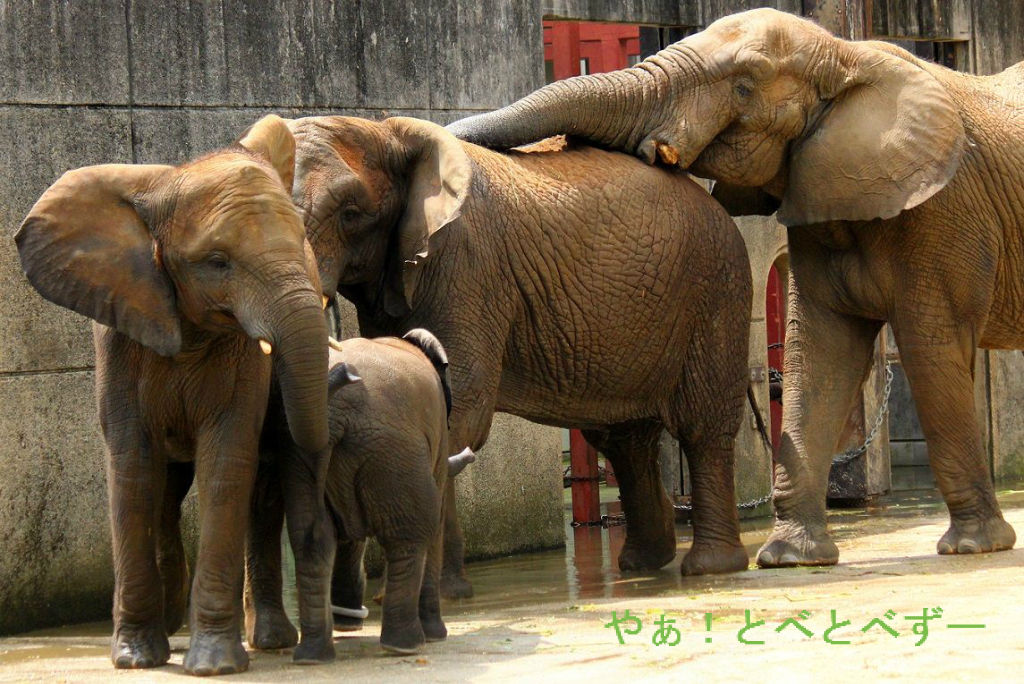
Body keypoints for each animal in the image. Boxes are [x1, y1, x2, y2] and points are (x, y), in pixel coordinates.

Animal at [13, 115, 335, 674]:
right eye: (217, 261)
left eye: (301, 242)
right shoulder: (119, 330)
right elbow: (132, 466)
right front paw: (134, 658)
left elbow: (227, 462)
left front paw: (214, 665)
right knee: (164, 491)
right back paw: (172, 631)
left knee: (259, 491)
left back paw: (269, 640)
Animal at [246, 328, 469, 655]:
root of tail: (335, 412)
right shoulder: (440, 432)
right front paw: (436, 636)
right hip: (392, 451)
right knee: (411, 533)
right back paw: (405, 646)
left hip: (306, 455)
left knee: (312, 538)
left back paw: (314, 654)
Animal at [278, 114, 755, 598]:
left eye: (349, 214)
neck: (381, 130)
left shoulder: (463, 267)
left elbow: (460, 409)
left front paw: (442, 596)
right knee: (625, 440)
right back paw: (642, 564)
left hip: (717, 289)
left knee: (702, 427)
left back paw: (709, 567)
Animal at [446, 7, 1023, 566]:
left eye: (745, 86)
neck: (846, 54)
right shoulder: (818, 197)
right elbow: (820, 353)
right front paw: (790, 559)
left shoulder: (945, 209)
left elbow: (931, 347)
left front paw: (973, 547)